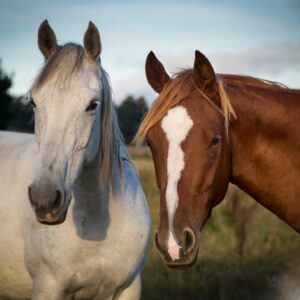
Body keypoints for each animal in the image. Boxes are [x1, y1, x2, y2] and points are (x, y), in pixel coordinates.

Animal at [0, 19, 150, 298]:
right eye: (34, 102)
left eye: (93, 104)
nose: (45, 200)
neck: (97, 223)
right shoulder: (47, 287)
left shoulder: (129, 287)